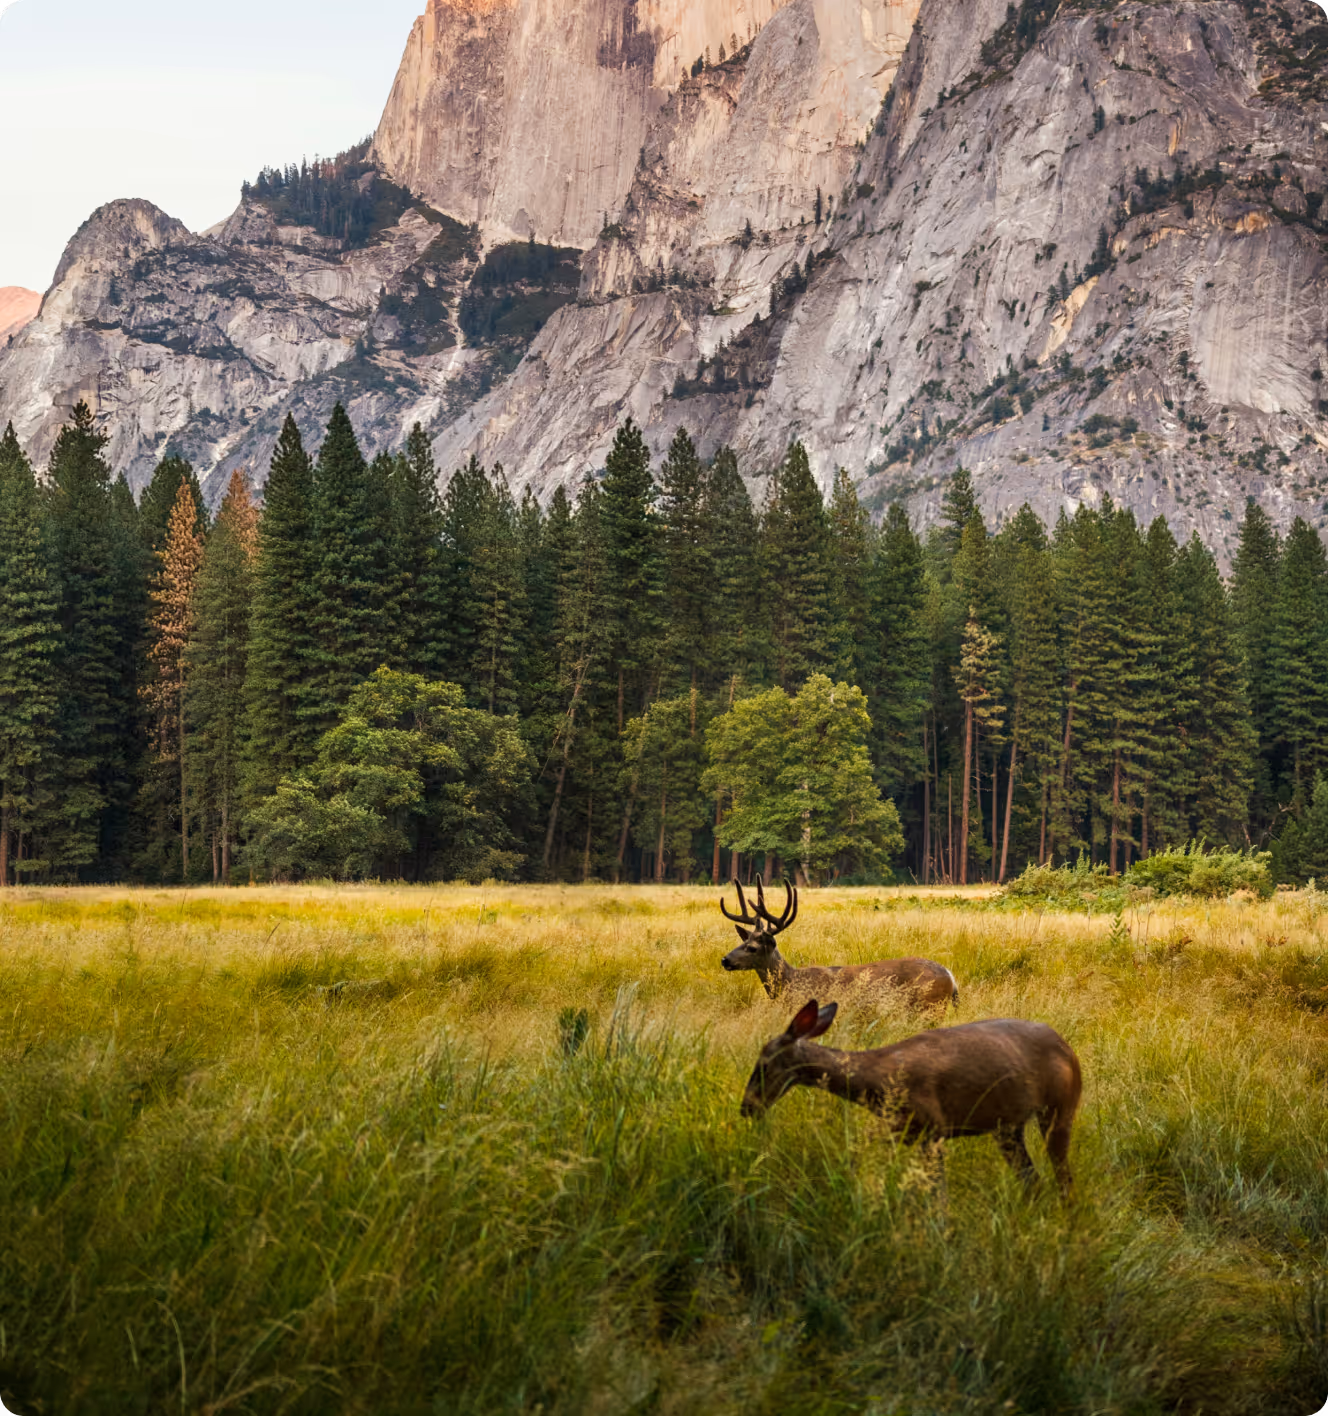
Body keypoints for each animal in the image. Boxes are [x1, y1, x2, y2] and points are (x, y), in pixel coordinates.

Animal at [720, 876, 958, 1015]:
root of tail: (951, 976)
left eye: (752, 948)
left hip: (930, 1007)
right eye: (743, 941)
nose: (725, 960)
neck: (791, 983)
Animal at [740, 999, 1082, 1194]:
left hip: (1060, 1108)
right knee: (1032, 1179)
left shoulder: (933, 1128)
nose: (746, 1108)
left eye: (762, 1066)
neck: (878, 1081)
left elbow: (937, 1194)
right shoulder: (899, 1130)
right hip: (1008, 1127)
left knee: (1064, 1179)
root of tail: (1068, 1049)